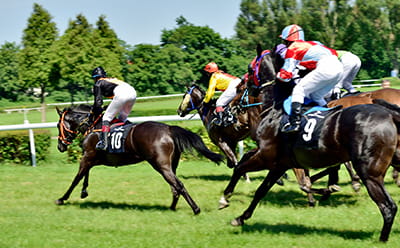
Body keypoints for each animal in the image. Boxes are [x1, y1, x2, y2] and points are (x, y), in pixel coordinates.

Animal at [54, 103, 223, 214]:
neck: (93, 125)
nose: (60, 146)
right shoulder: (92, 158)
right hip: (171, 165)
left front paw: (62, 198)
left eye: (57, 125)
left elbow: (76, 178)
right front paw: (84, 192)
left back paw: (195, 209)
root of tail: (168, 129)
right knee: (174, 186)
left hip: (161, 165)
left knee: (178, 184)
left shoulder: (87, 156)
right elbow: (85, 175)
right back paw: (172, 208)